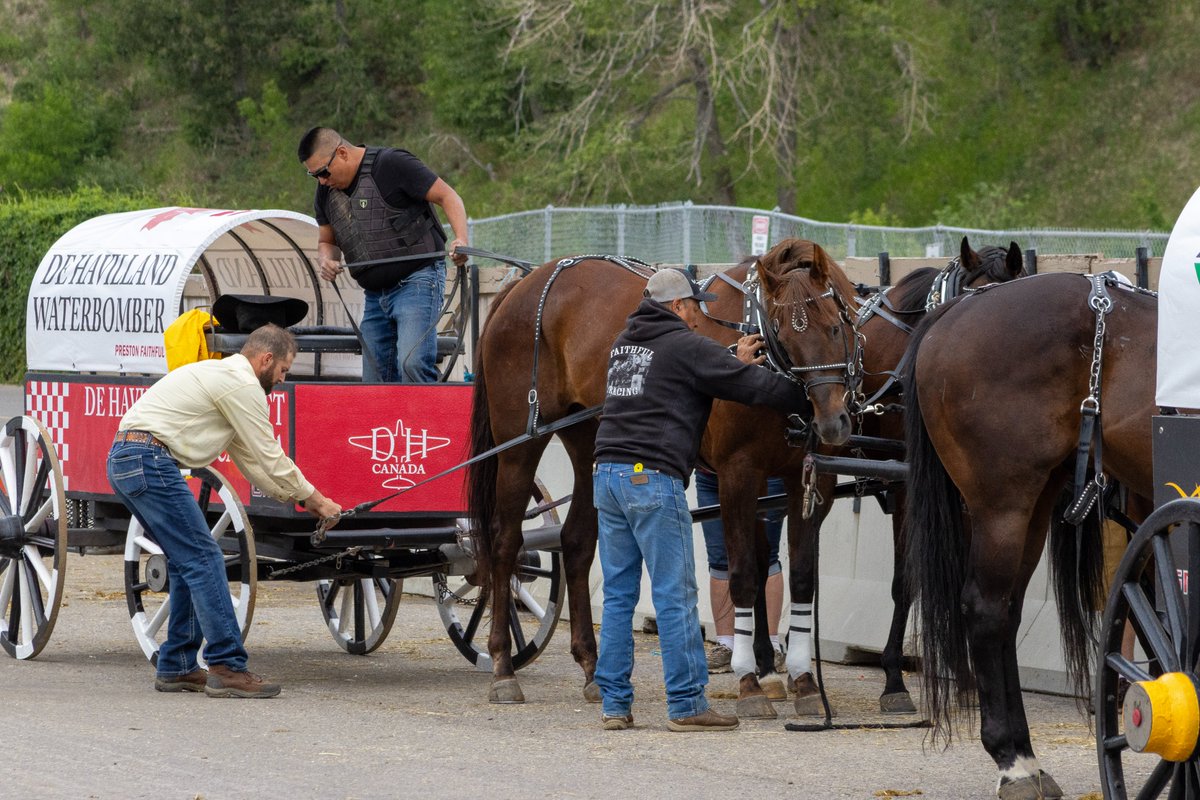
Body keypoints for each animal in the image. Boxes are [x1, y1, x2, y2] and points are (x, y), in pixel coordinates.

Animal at [700, 237, 1024, 718]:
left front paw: (964, 678)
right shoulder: (904, 484)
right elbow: (905, 581)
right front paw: (894, 680)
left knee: (763, 561)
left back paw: (767, 664)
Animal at [902, 271, 1156, 799]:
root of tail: (959, 309)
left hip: (1035, 504)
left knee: (1007, 613)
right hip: (1003, 504)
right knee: (986, 610)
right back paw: (1013, 760)